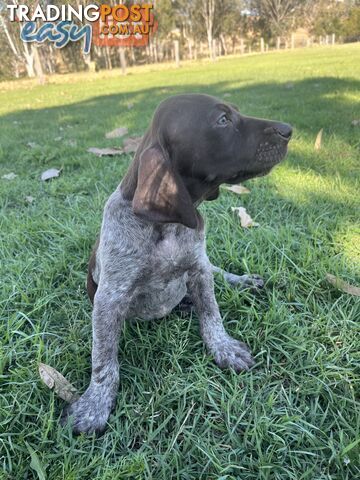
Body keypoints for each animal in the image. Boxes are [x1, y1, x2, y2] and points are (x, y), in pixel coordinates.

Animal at [62, 92, 292, 434]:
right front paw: (95, 404)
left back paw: (242, 281)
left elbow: (212, 315)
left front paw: (223, 348)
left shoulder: (198, 269)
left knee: (219, 273)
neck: (165, 227)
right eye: (223, 120)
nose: (288, 129)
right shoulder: (109, 299)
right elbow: (104, 359)